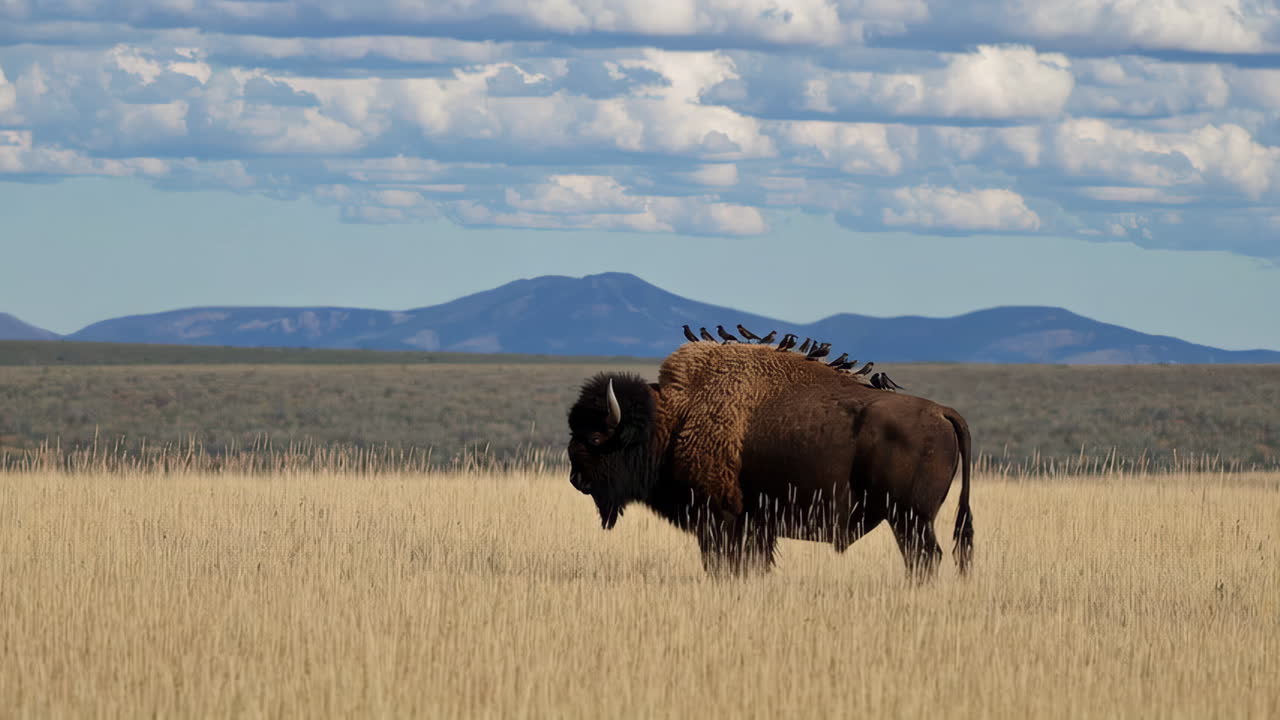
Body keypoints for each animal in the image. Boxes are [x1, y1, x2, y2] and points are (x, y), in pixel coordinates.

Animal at [567, 339, 973, 578]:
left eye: (596, 437)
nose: (576, 479)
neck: (675, 419)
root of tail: (942, 412)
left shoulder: (721, 520)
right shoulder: (756, 525)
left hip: (910, 518)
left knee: (924, 558)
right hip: (909, 519)